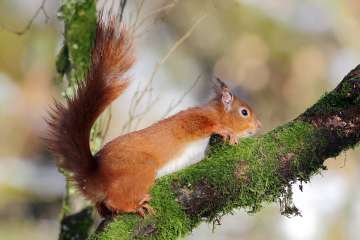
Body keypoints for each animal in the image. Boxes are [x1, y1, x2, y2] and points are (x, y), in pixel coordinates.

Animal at [45, 19, 262, 218]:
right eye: (244, 112)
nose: (259, 125)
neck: (214, 111)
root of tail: (95, 176)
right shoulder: (192, 119)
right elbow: (201, 125)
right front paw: (227, 131)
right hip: (142, 168)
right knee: (115, 200)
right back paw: (134, 206)